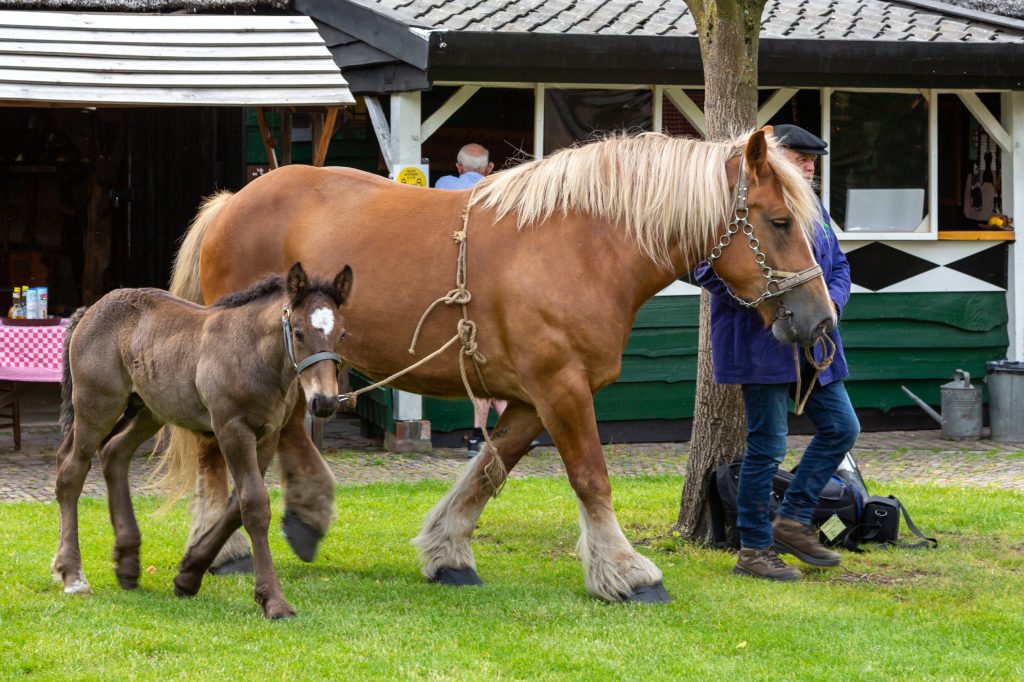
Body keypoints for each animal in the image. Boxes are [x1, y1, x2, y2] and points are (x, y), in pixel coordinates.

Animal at [52, 260, 356, 614]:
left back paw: (127, 564)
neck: (253, 353)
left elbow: (237, 505)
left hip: (149, 410)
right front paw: (273, 600)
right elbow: (254, 505)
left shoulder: (267, 435)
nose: (324, 402)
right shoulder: (231, 429)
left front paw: (188, 575)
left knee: (114, 452)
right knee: (72, 469)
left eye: (342, 334)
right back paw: (73, 576)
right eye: (298, 332)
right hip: (98, 406)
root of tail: (90, 310)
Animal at [165, 127, 831, 602]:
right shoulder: (562, 387)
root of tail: (232, 201)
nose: (820, 320)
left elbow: (488, 470)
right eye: (779, 222)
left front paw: (447, 553)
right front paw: (627, 573)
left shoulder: (536, 396)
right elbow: (590, 476)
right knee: (224, 448)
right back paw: (232, 546)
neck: (586, 246)